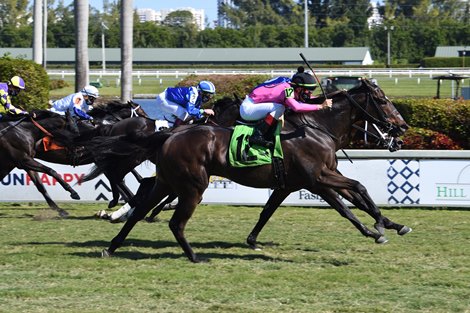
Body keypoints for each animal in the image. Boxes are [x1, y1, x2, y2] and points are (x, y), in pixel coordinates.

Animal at [87, 78, 412, 260]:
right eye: (382, 100)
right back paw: (190, 254)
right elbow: (354, 195)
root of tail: (169, 135)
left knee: (141, 205)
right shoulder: (318, 178)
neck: (316, 127)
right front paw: (378, 228)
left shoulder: (296, 183)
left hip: (167, 181)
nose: (402, 129)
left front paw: (391, 225)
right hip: (192, 186)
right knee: (169, 217)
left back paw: (112, 244)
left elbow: (270, 211)